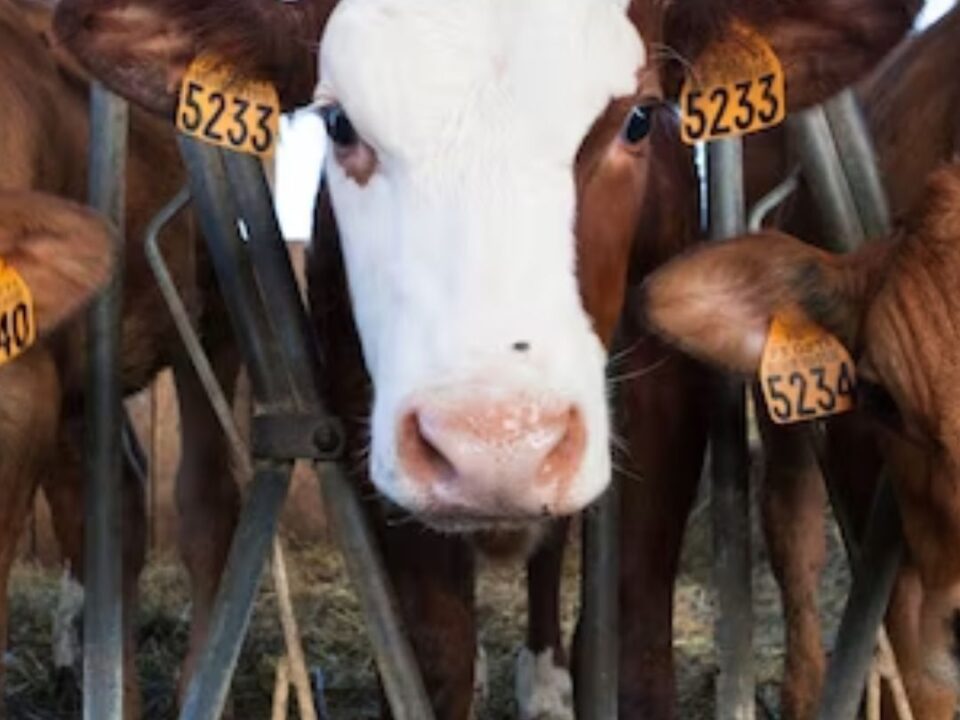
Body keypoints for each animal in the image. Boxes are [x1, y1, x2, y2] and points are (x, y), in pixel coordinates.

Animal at [52, 0, 918, 717]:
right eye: (340, 125)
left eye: (639, 119)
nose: (496, 445)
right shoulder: (364, 407)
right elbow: (435, 656)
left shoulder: (666, 400)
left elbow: (634, 638)